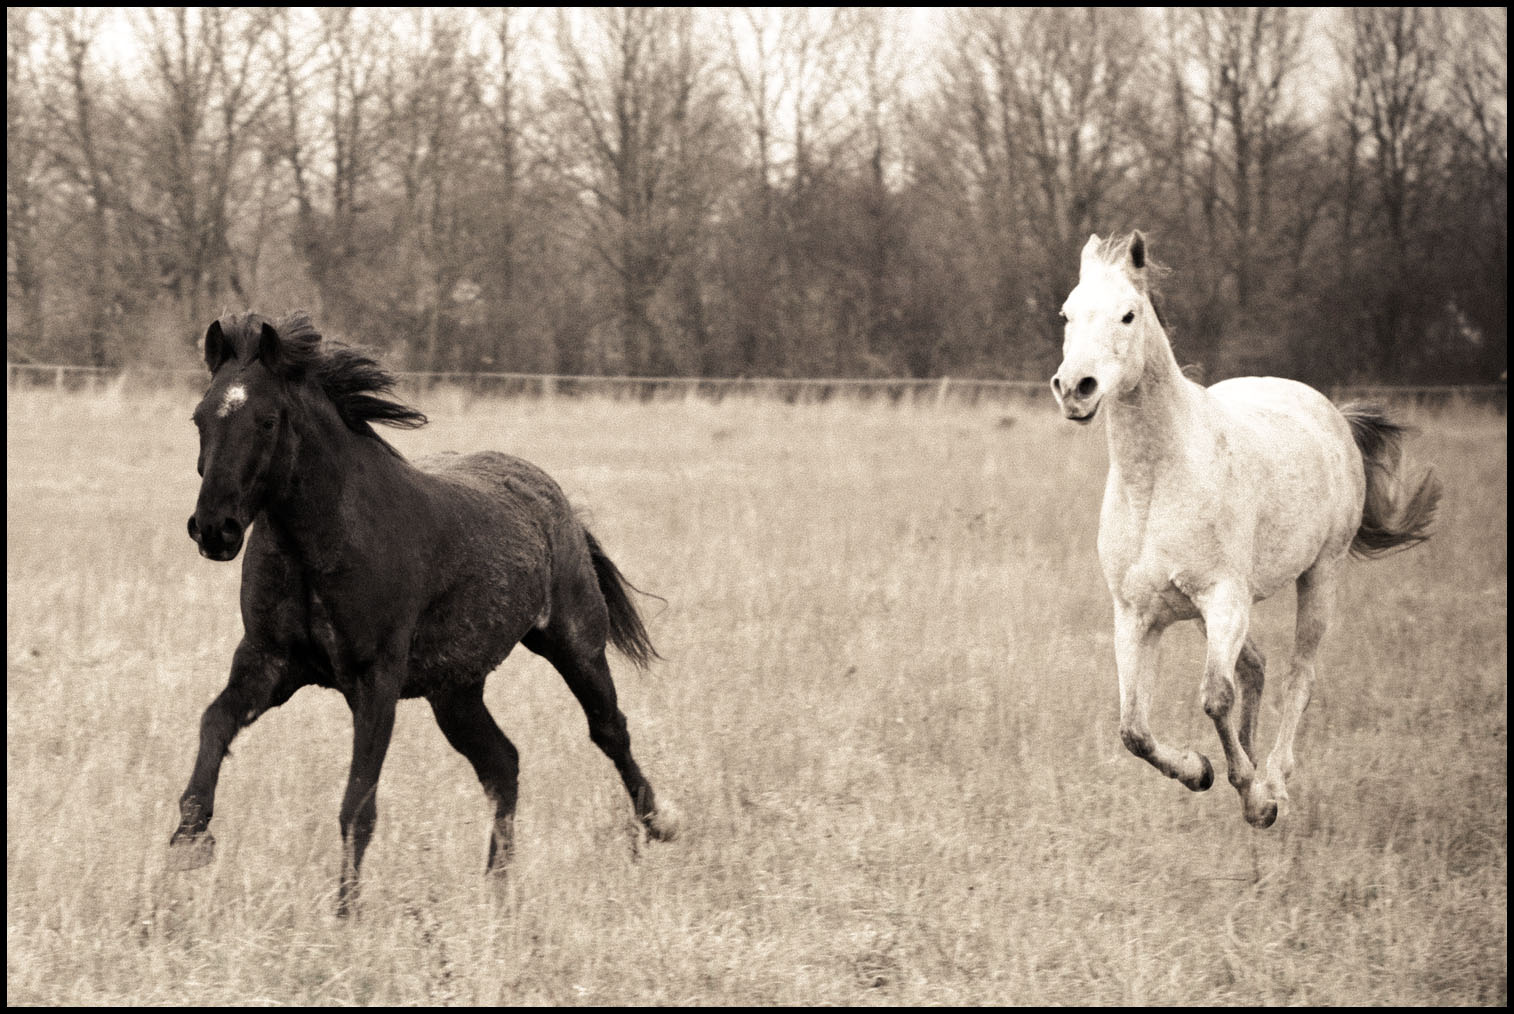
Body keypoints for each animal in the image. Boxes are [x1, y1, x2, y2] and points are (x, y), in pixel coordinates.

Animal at [167, 311, 681, 914]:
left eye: (267, 420)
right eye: (200, 417)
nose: (214, 529)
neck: (321, 546)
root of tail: (556, 500)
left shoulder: (375, 680)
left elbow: (357, 807)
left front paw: (346, 914)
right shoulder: (268, 663)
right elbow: (215, 724)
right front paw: (189, 841)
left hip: (575, 645)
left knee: (608, 730)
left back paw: (660, 823)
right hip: (454, 691)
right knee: (503, 763)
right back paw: (495, 890)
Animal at [1047, 234, 1435, 829]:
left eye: (1129, 315)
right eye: (1066, 314)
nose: (1075, 389)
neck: (1157, 482)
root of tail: (1331, 414)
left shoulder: (1223, 599)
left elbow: (1214, 698)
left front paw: (1254, 798)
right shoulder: (1137, 615)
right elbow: (1133, 729)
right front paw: (1201, 771)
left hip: (1320, 575)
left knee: (1300, 676)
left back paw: (1272, 779)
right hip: (1217, 611)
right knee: (1255, 665)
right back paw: (1248, 762)